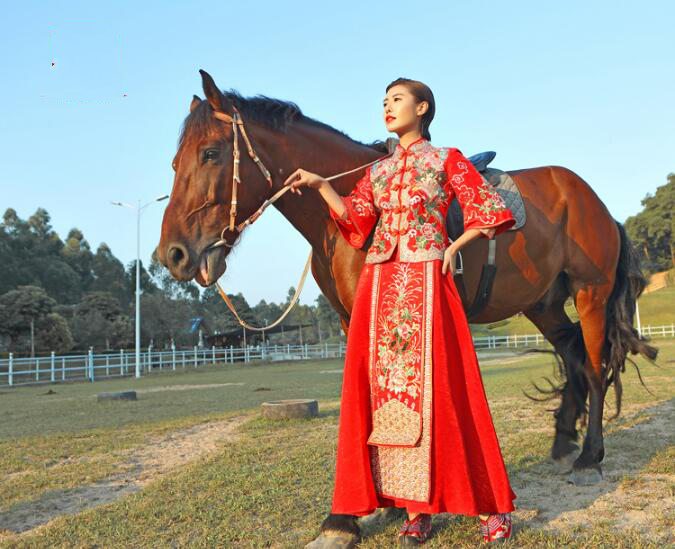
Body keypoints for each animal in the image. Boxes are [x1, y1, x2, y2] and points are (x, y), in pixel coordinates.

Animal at [157, 70, 656, 540]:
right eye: (175, 161)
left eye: (210, 154)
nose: (173, 255)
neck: (340, 221)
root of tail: (594, 201)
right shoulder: (349, 320)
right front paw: (383, 506)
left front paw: (347, 519)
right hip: (543, 304)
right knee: (572, 353)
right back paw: (563, 440)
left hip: (590, 293)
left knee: (594, 366)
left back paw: (590, 458)